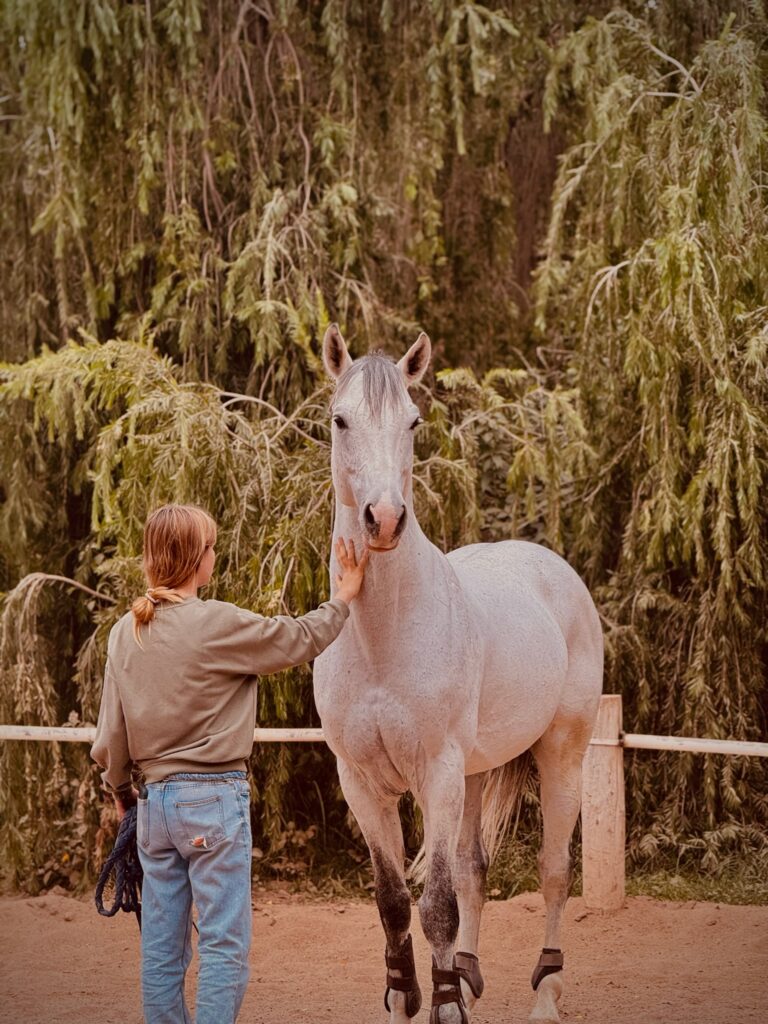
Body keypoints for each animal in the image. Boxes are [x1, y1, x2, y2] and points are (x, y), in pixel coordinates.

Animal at [313, 325, 603, 1024]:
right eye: (339, 419)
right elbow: (394, 903)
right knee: (476, 869)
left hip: (562, 755)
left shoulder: (436, 775)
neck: (382, 639)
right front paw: (406, 998)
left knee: (554, 872)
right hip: (473, 775)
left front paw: (443, 1008)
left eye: (413, 421)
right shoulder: (362, 783)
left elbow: (437, 904)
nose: (384, 519)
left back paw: (546, 995)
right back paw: (467, 974)